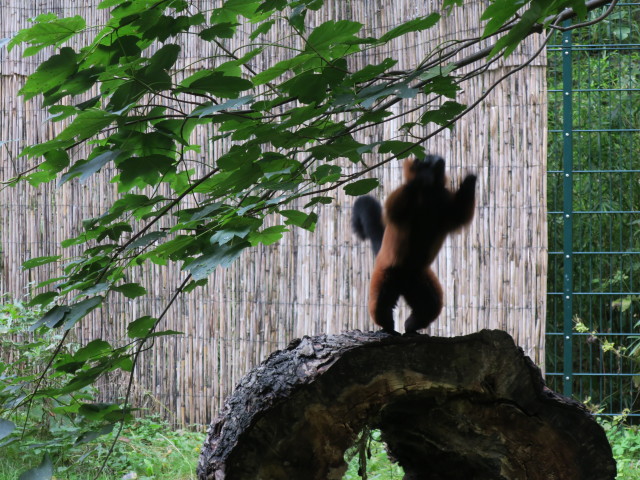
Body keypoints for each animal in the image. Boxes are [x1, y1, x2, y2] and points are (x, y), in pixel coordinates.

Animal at [352, 155, 476, 334]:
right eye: (427, 160)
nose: (439, 160)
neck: (429, 191)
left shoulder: (443, 198)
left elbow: (459, 215)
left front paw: (470, 179)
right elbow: (393, 208)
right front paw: (416, 181)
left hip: (418, 279)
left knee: (430, 305)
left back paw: (411, 325)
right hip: (386, 272)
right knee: (380, 303)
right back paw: (387, 325)